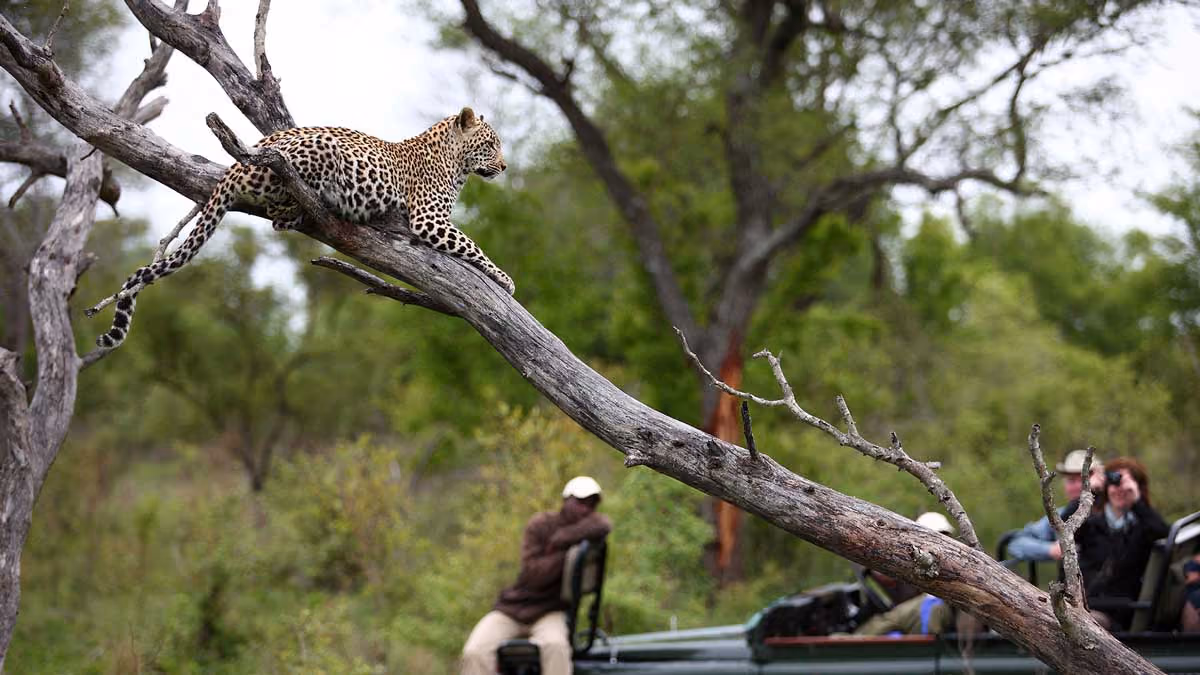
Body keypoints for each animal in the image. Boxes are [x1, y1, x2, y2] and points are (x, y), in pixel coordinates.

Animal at [90, 106, 514, 349]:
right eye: (491, 144)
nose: (505, 166)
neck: (455, 162)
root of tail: (237, 165)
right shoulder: (430, 219)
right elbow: (473, 246)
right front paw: (506, 280)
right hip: (317, 154)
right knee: (279, 210)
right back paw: (310, 205)